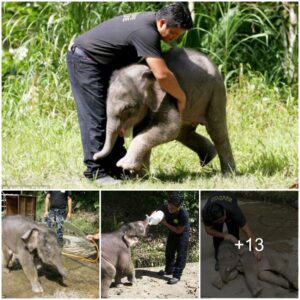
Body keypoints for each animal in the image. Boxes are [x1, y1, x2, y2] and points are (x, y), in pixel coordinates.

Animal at [95, 47, 236, 175]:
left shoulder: (167, 98)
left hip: (216, 91)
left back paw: (228, 174)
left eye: (127, 108)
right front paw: (142, 177)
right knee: (183, 133)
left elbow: (170, 129)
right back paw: (209, 157)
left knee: (216, 131)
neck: (148, 71)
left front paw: (124, 165)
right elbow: (142, 130)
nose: (95, 156)